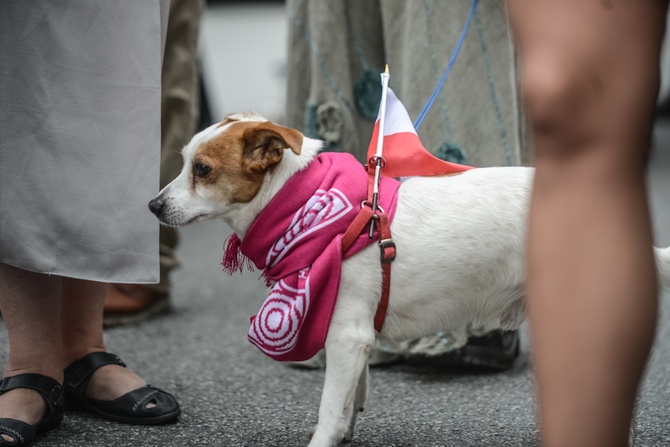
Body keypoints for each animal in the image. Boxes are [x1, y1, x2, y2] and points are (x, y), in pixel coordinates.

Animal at [150, 113, 670, 447]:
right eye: (184, 162)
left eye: (203, 170)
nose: (153, 206)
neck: (310, 207)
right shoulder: (353, 338)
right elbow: (350, 400)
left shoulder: (346, 336)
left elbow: (329, 410)